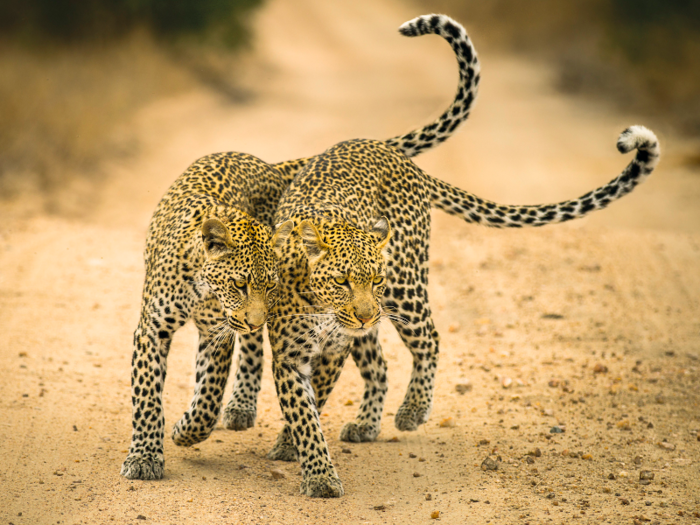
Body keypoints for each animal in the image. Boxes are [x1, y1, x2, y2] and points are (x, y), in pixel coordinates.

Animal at [121, 12, 482, 478]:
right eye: (238, 285)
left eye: (269, 286)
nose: (257, 315)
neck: (201, 285)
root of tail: (270, 165)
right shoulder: (153, 329)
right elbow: (148, 396)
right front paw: (145, 456)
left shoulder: (221, 332)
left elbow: (210, 393)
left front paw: (188, 429)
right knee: (369, 357)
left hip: (400, 288)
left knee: (424, 339)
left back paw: (404, 411)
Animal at [262, 122, 656, 496]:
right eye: (341, 281)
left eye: (375, 279)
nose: (364, 315)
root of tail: (395, 154)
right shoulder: (290, 355)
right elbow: (304, 415)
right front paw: (314, 469)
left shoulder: (335, 348)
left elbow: (313, 405)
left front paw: (305, 463)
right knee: (380, 364)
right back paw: (366, 424)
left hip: (404, 287)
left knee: (429, 339)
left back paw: (413, 409)